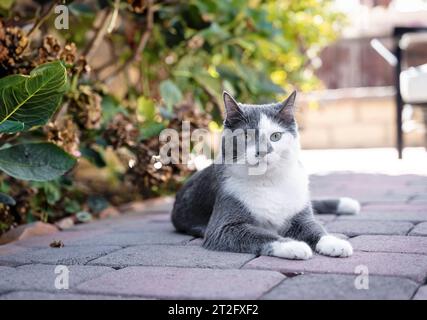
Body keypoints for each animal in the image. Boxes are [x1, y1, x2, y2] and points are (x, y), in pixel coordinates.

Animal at [172, 90, 360, 260]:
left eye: (276, 136)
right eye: (246, 136)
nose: (263, 151)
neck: (269, 181)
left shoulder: (302, 216)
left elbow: (315, 228)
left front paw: (334, 243)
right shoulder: (222, 228)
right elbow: (262, 235)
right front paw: (293, 245)